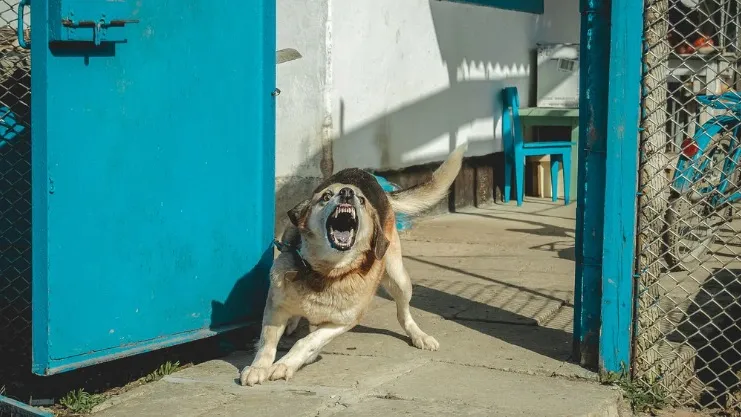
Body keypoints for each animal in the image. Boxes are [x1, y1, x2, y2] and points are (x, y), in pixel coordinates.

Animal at [240, 145, 466, 386]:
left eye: (361, 200)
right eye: (326, 196)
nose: (347, 193)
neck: (325, 272)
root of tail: (367, 176)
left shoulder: (342, 322)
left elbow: (308, 342)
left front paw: (285, 364)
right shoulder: (275, 308)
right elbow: (267, 342)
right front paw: (258, 367)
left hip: (399, 279)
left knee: (403, 314)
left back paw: (419, 336)